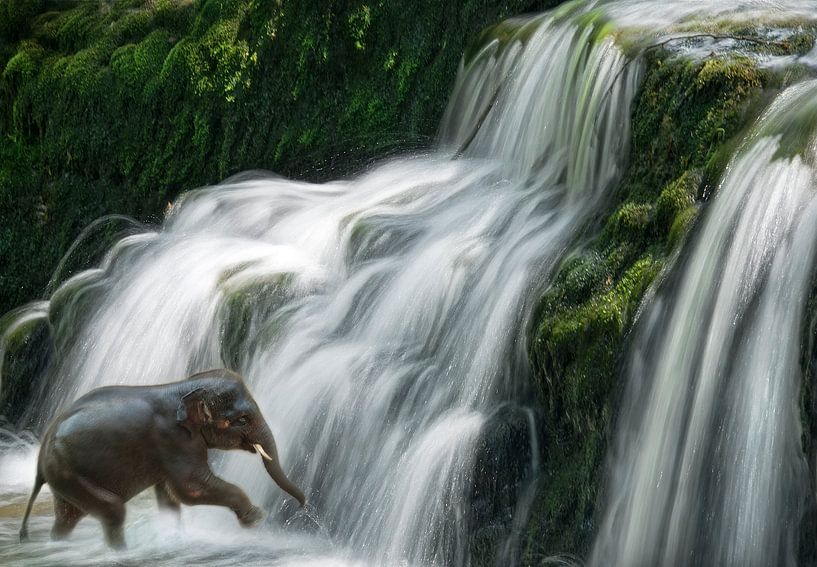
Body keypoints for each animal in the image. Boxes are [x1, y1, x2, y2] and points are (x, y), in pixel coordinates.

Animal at [19, 368, 305, 548]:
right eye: (243, 419)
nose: (303, 505)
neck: (183, 386)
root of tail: (41, 456)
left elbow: (169, 496)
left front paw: (175, 537)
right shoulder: (173, 440)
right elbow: (191, 488)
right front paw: (256, 517)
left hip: (64, 477)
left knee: (67, 517)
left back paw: (57, 544)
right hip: (68, 472)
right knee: (112, 511)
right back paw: (121, 552)